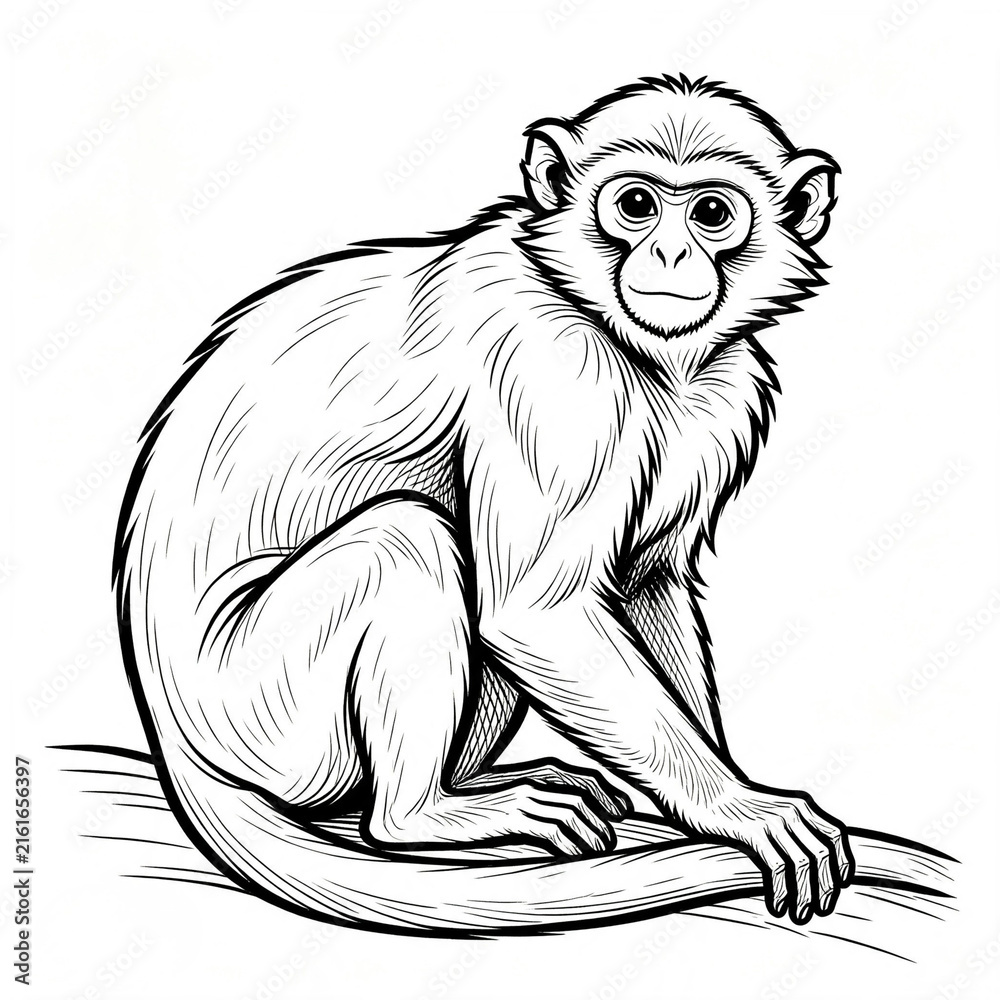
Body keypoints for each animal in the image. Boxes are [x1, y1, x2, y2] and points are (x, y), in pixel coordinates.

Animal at [114, 74, 854, 936]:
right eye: (636, 204)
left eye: (710, 212)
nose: (671, 255)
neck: (611, 328)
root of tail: (170, 733)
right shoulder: (553, 372)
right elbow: (535, 612)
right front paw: (737, 807)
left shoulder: (721, 397)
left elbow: (647, 583)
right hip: (260, 715)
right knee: (406, 541)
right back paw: (419, 814)